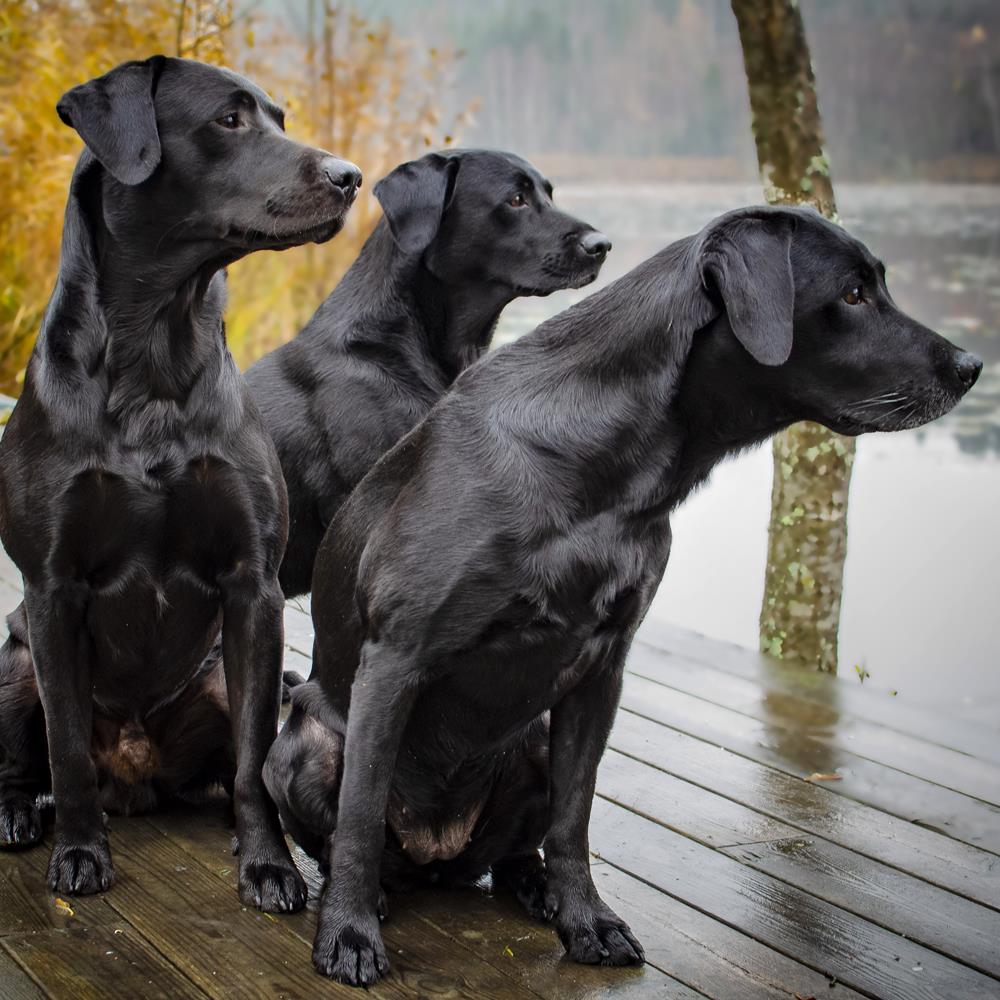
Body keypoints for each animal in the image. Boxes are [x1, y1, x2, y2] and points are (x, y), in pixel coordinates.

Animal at [0, 58, 360, 912]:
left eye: (279, 116)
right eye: (230, 119)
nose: (350, 177)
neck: (153, 350)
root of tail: (135, 775)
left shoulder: (253, 586)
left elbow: (254, 763)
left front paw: (267, 864)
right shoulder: (51, 587)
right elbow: (65, 744)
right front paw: (79, 852)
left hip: (227, 681)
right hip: (13, 660)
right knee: (33, 759)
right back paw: (21, 812)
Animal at [262, 205, 980, 984]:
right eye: (852, 294)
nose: (972, 367)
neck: (608, 472)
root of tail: (435, 853)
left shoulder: (601, 670)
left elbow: (574, 821)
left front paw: (586, 920)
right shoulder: (396, 659)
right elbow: (361, 815)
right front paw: (350, 933)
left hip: (532, 742)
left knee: (515, 851)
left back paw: (535, 886)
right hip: (305, 746)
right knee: (347, 832)